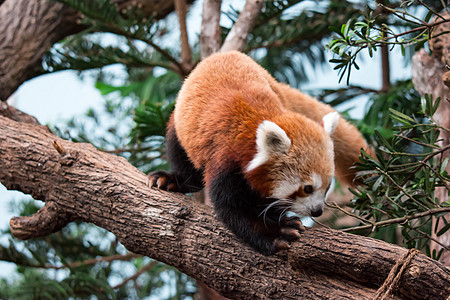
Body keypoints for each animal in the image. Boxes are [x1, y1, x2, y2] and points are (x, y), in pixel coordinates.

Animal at [149, 51, 368, 255]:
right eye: (307, 188)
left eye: (328, 186)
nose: (317, 211)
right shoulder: (226, 160)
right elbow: (233, 209)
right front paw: (278, 232)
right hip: (180, 125)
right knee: (179, 151)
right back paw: (172, 179)